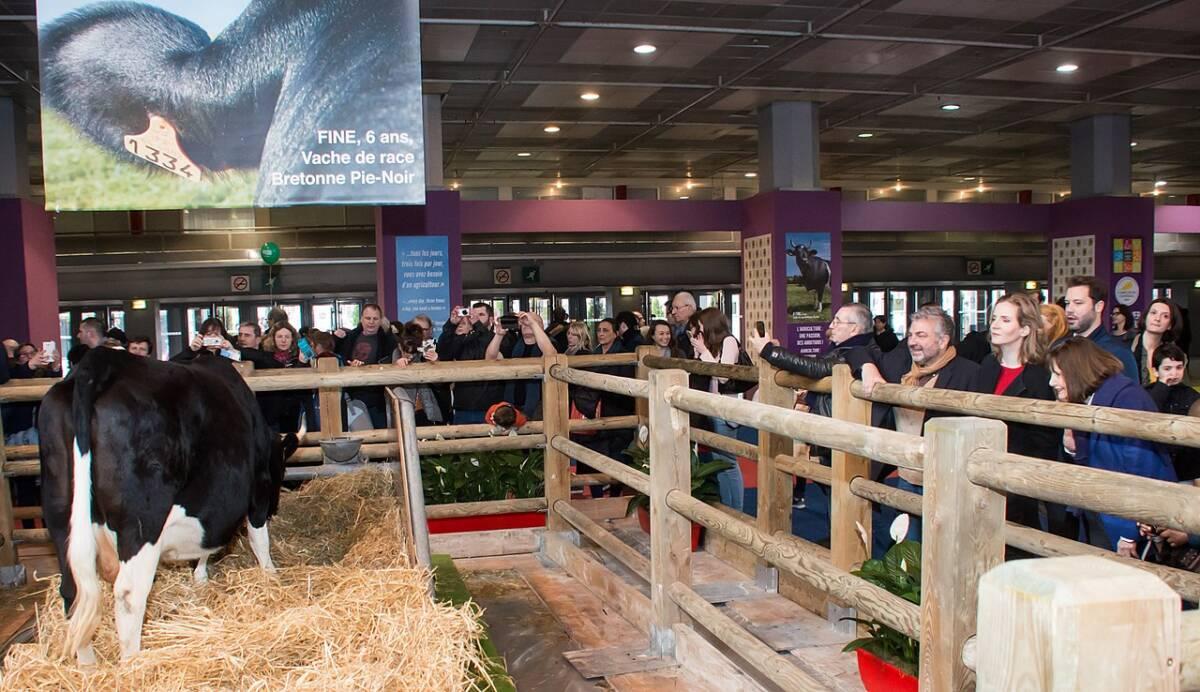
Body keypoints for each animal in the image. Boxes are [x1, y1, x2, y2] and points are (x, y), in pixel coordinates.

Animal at [40, 347, 300, 662]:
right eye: (281, 469)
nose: (276, 508)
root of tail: (102, 361)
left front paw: (200, 578)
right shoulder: (256, 489)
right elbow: (258, 540)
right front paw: (271, 576)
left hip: (60, 517)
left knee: (74, 593)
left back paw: (87, 666)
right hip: (142, 523)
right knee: (129, 595)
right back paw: (133, 663)